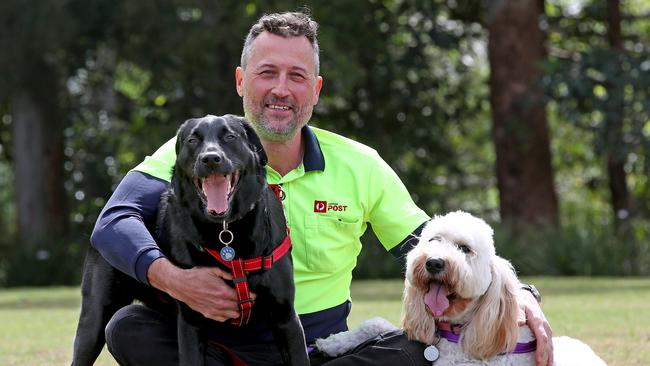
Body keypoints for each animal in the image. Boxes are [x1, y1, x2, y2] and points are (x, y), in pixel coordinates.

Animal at [72, 115, 310, 366]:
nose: (211, 158)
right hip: (94, 319)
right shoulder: (191, 320)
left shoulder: (285, 316)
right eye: (192, 140)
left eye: (230, 136)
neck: (226, 233)